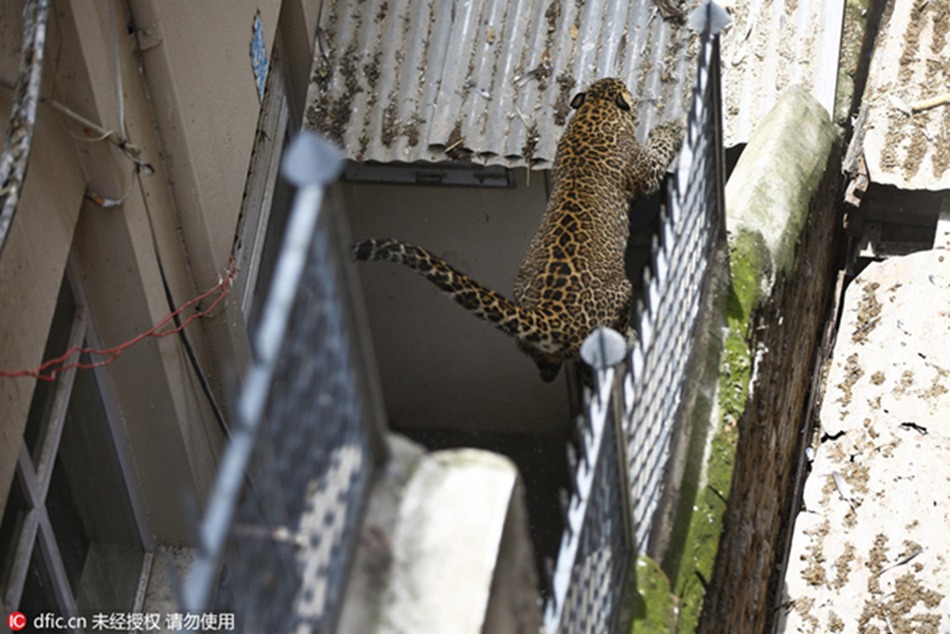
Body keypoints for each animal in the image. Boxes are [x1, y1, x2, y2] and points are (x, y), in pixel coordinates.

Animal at [353, 77, 683, 382]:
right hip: (621, 292)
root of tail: (549, 315)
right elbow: (658, 152)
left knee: (546, 368)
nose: (618, 79)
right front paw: (671, 129)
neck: (595, 110)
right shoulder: (644, 171)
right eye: (619, 85)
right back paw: (630, 338)